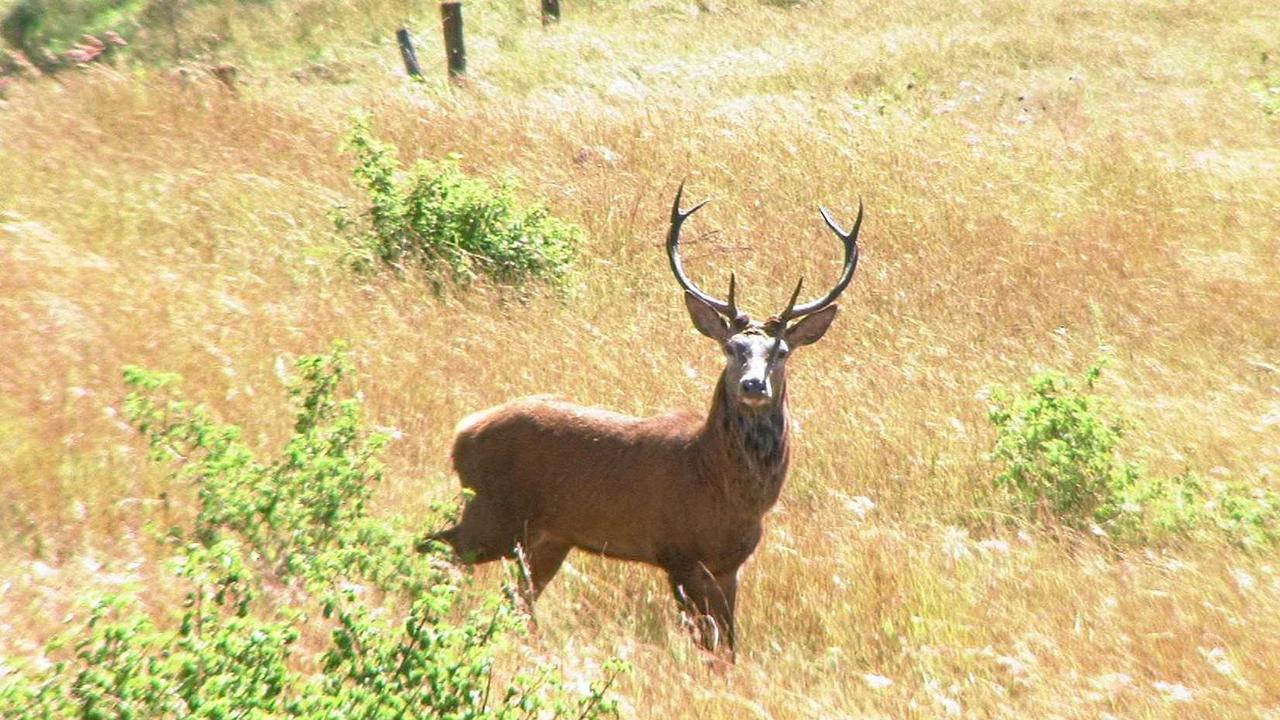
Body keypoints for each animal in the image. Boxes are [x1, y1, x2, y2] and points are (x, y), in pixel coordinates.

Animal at [424, 181, 865, 653]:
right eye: (732, 348)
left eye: (780, 352)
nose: (752, 385)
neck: (723, 486)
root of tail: (463, 431)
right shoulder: (678, 553)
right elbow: (704, 644)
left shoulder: (729, 567)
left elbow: (728, 647)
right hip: (493, 513)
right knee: (437, 547)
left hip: (548, 537)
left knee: (516, 595)